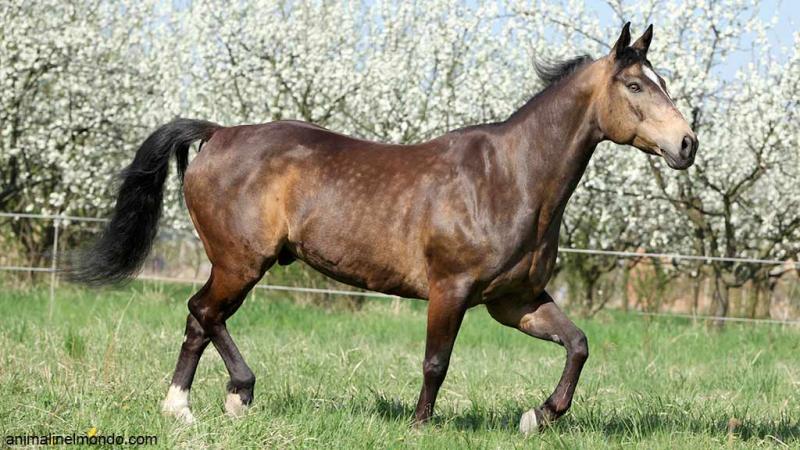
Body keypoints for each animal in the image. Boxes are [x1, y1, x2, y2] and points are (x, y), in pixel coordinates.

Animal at [71, 23, 697, 433]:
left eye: (662, 81)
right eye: (636, 87)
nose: (687, 144)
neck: (511, 177)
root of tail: (219, 133)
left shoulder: (515, 301)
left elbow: (578, 344)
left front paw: (538, 416)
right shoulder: (450, 291)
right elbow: (436, 363)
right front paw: (421, 426)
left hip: (236, 263)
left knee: (201, 320)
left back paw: (186, 407)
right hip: (241, 261)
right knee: (204, 312)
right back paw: (231, 396)